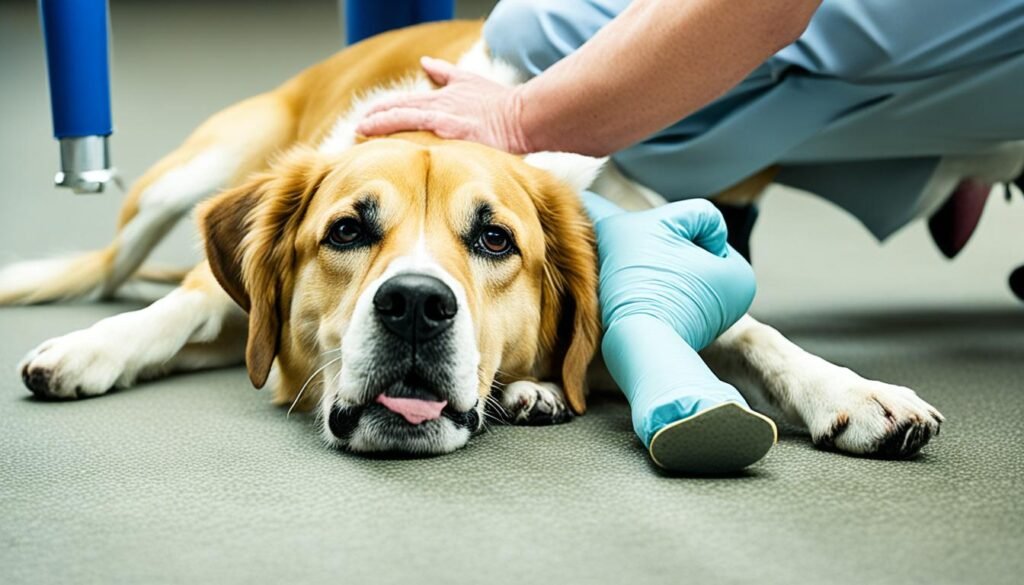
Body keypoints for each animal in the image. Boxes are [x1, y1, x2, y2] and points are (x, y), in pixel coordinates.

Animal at [0, 19, 942, 456]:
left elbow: (756, 333)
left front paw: (854, 391)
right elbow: (181, 311)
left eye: (494, 240)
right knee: (120, 269)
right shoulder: (238, 306)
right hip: (188, 176)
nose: (416, 306)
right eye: (347, 229)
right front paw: (91, 351)